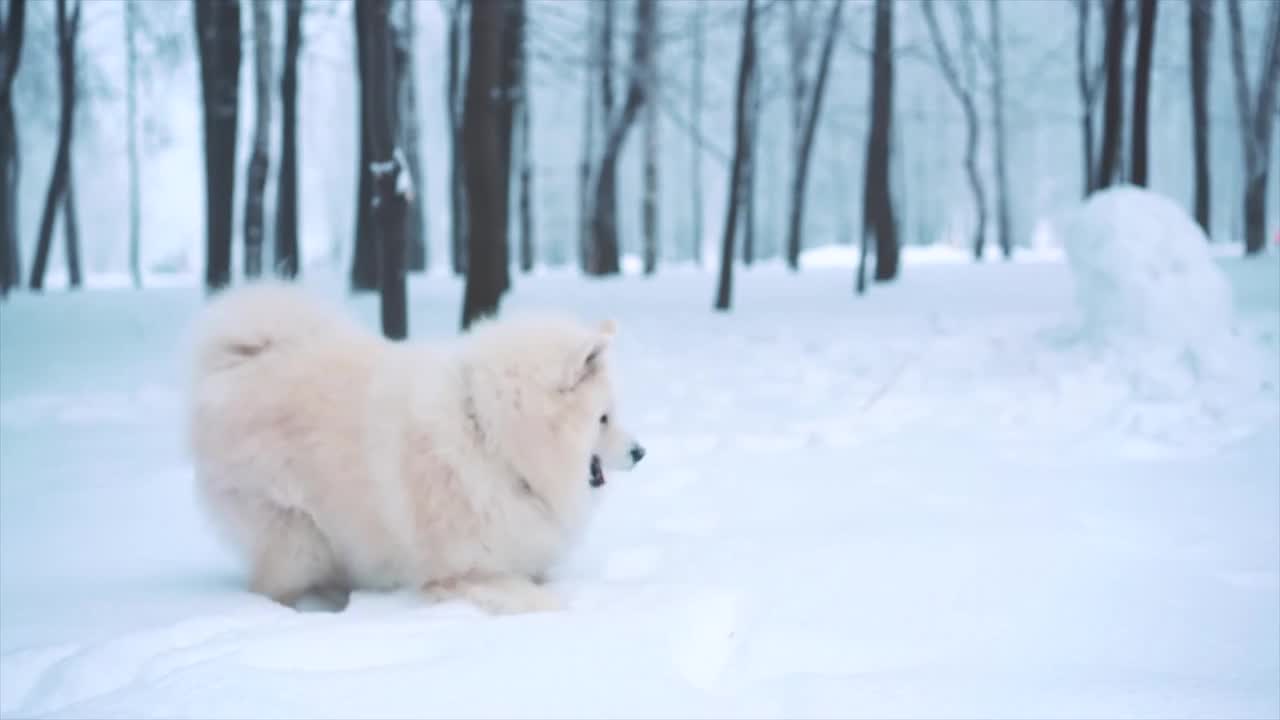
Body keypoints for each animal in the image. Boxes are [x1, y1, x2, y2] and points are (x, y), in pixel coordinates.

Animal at [183, 280, 640, 609]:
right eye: (603, 418)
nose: (641, 452)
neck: (490, 438)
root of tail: (245, 358)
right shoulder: (464, 571)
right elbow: (537, 601)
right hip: (296, 537)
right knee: (271, 586)